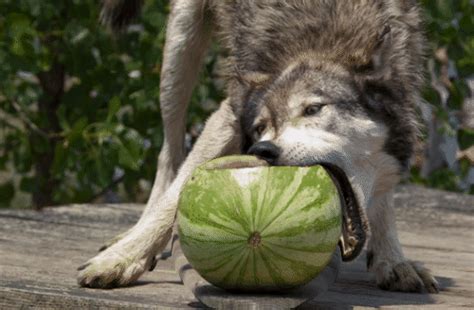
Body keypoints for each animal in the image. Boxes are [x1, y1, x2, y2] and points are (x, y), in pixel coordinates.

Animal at [77, 0, 436, 294]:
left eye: (313, 109)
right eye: (261, 127)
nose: (263, 150)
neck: (322, 42)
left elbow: (384, 197)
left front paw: (392, 260)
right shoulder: (229, 113)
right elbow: (174, 196)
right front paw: (120, 260)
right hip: (180, 49)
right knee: (170, 152)